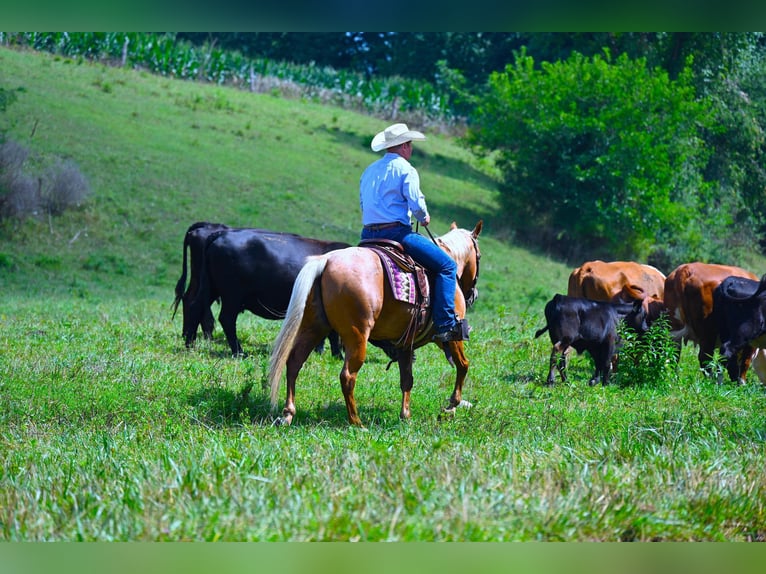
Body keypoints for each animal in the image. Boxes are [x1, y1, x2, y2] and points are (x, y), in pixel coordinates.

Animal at [188, 228, 350, 356]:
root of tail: (221, 234)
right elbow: (333, 333)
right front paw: (337, 355)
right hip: (232, 295)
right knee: (226, 318)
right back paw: (239, 352)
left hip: (211, 287)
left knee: (195, 307)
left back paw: (190, 344)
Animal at [268, 220, 484, 428]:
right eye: (479, 256)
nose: (473, 295)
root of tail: (325, 260)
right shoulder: (450, 337)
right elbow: (463, 365)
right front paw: (451, 406)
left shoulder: (405, 344)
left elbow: (407, 379)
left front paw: (406, 416)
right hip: (356, 336)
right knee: (347, 376)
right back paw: (356, 422)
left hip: (313, 328)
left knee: (294, 363)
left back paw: (287, 414)